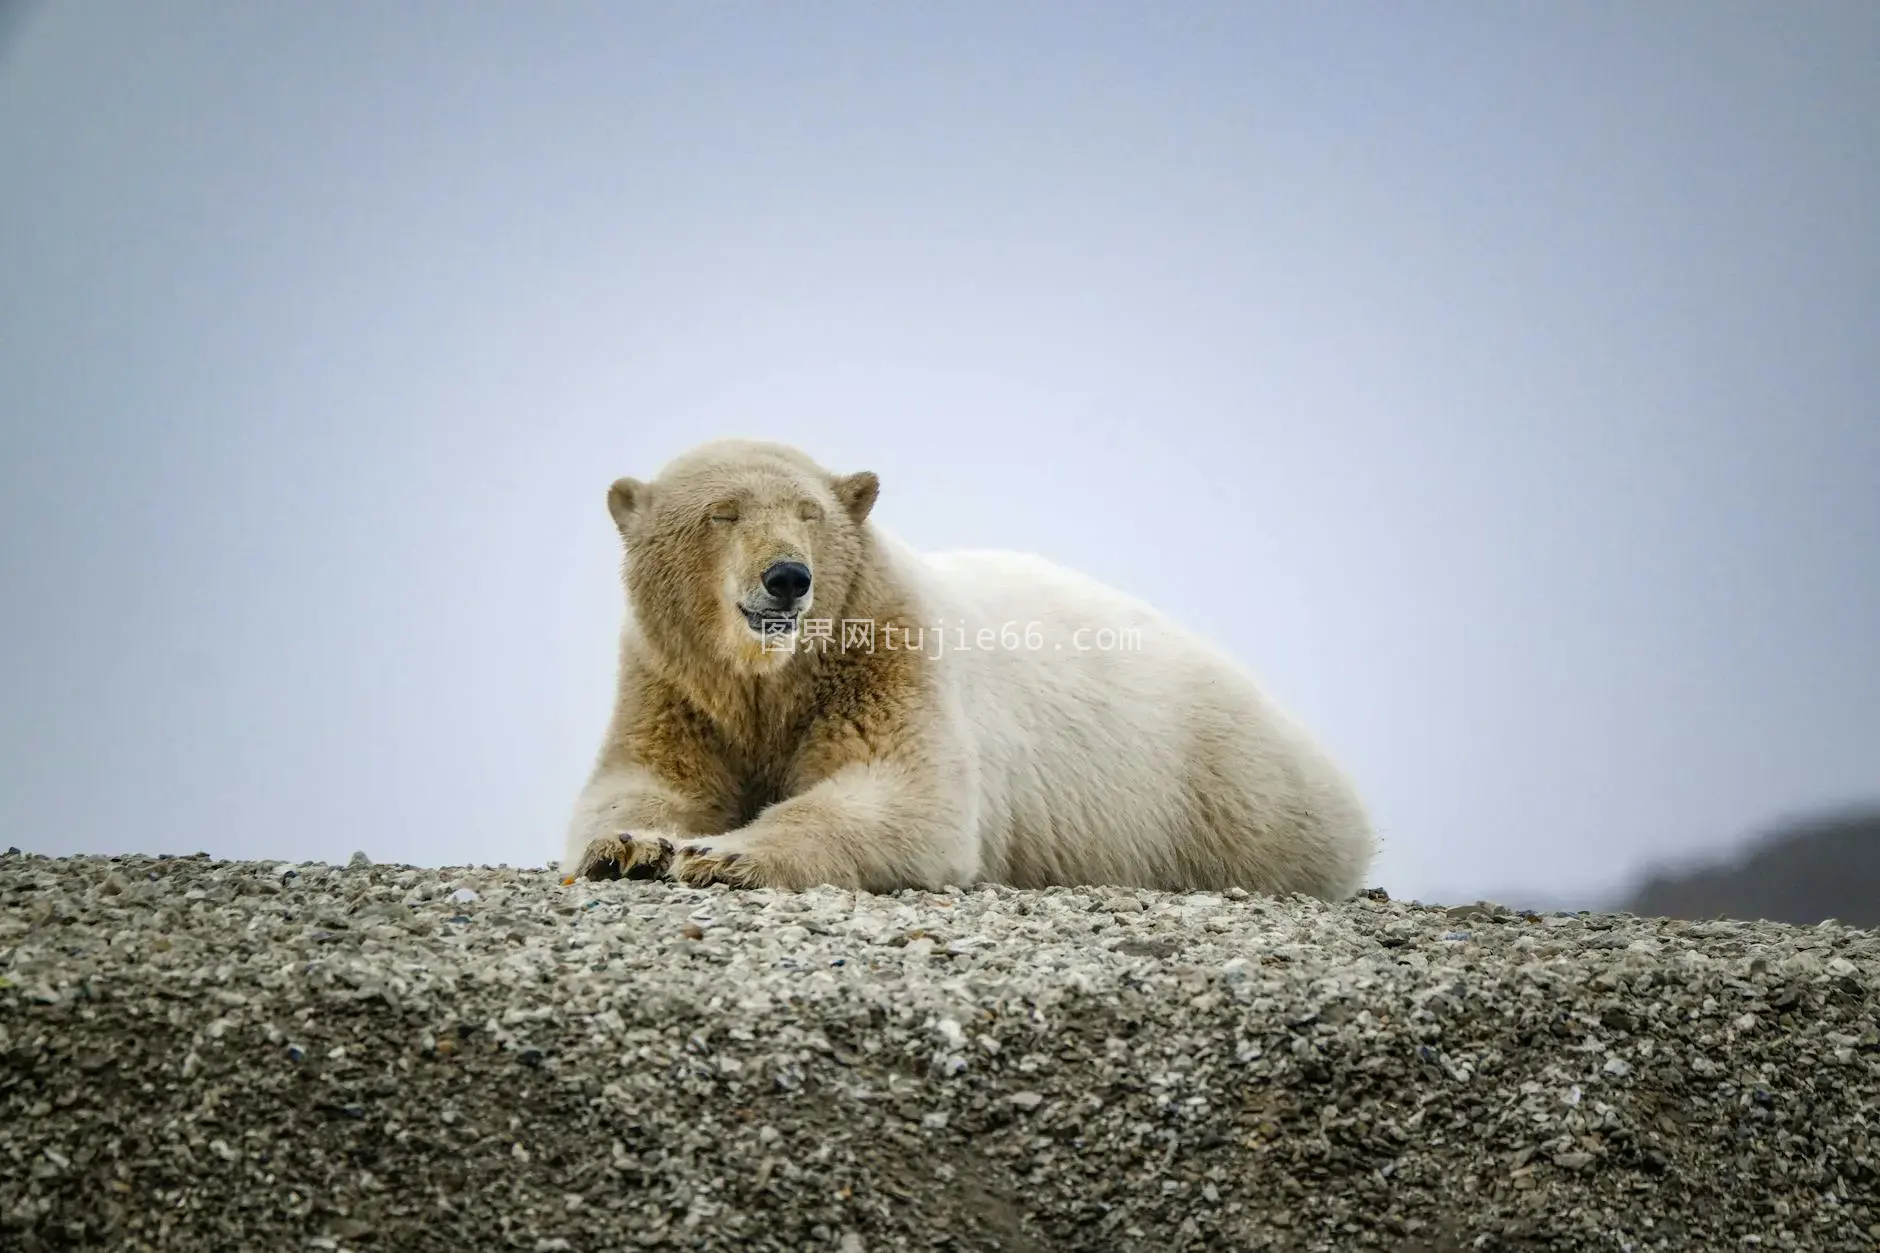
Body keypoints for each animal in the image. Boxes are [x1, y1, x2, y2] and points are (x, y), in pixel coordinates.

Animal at [560, 438, 1383, 899]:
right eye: (722, 512)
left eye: (809, 513)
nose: (789, 577)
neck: (775, 677)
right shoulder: (673, 682)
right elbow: (648, 781)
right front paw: (632, 847)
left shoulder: (886, 651)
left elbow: (903, 793)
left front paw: (721, 854)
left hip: (1220, 787)